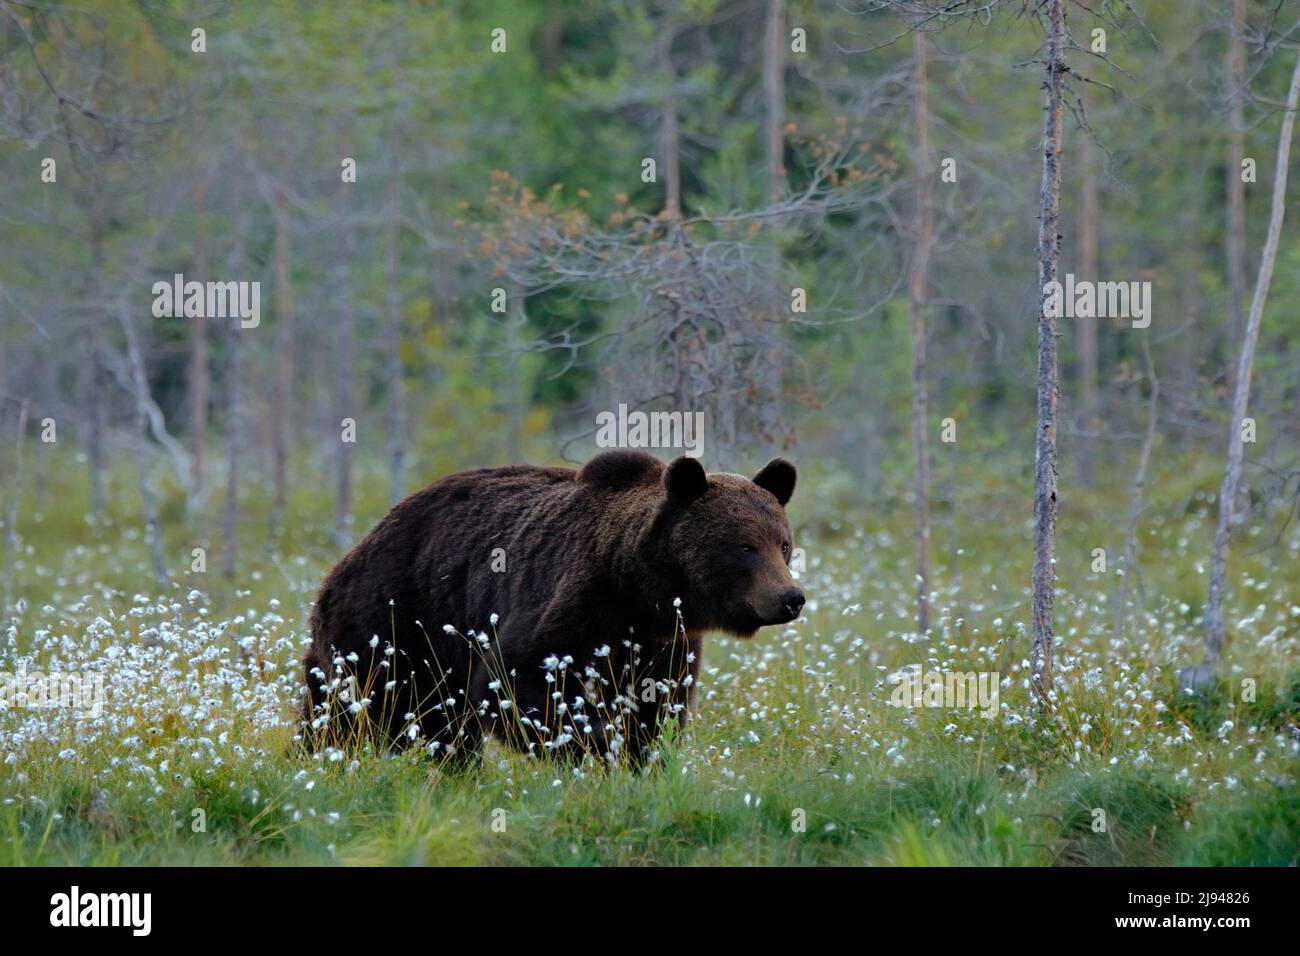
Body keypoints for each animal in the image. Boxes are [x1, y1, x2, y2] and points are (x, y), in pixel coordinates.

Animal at [301, 449, 803, 766]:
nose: (790, 598)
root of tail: (347, 557)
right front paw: (594, 744)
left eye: (783, 543)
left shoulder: (666, 643)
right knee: (376, 714)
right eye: (744, 546)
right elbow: (515, 681)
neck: (641, 591)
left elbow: (656, 707)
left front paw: (637, 757)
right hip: (395, 624)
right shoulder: (575, 602)